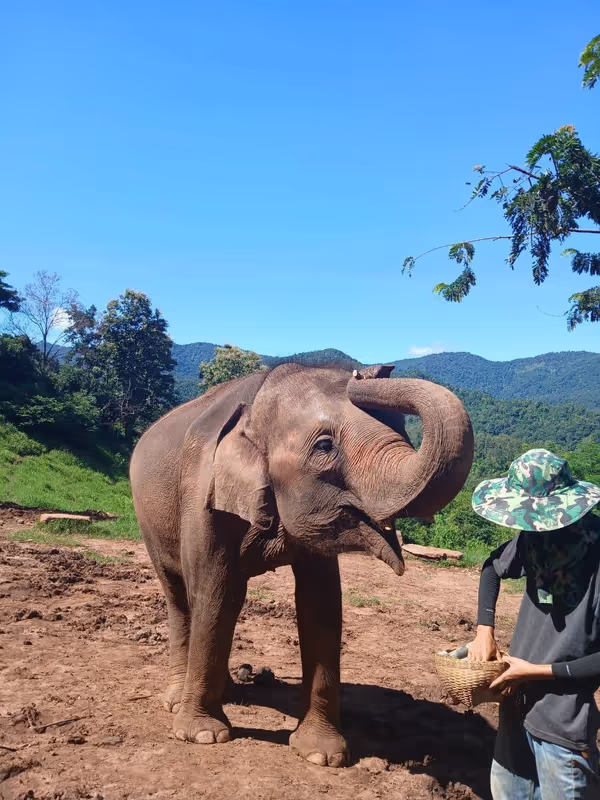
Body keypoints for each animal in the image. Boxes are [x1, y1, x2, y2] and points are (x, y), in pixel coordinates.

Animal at [129, 362, 474, 767]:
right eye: (324, 445)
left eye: (402, 430)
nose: (367, 372)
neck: (258, 400)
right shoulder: (202, 496)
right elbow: (214, 594)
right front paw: (203, 735)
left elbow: (320, 605)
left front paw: (323, 756)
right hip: (149, 522)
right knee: (180, 598)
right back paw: (175, 701)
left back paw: (228, 692)